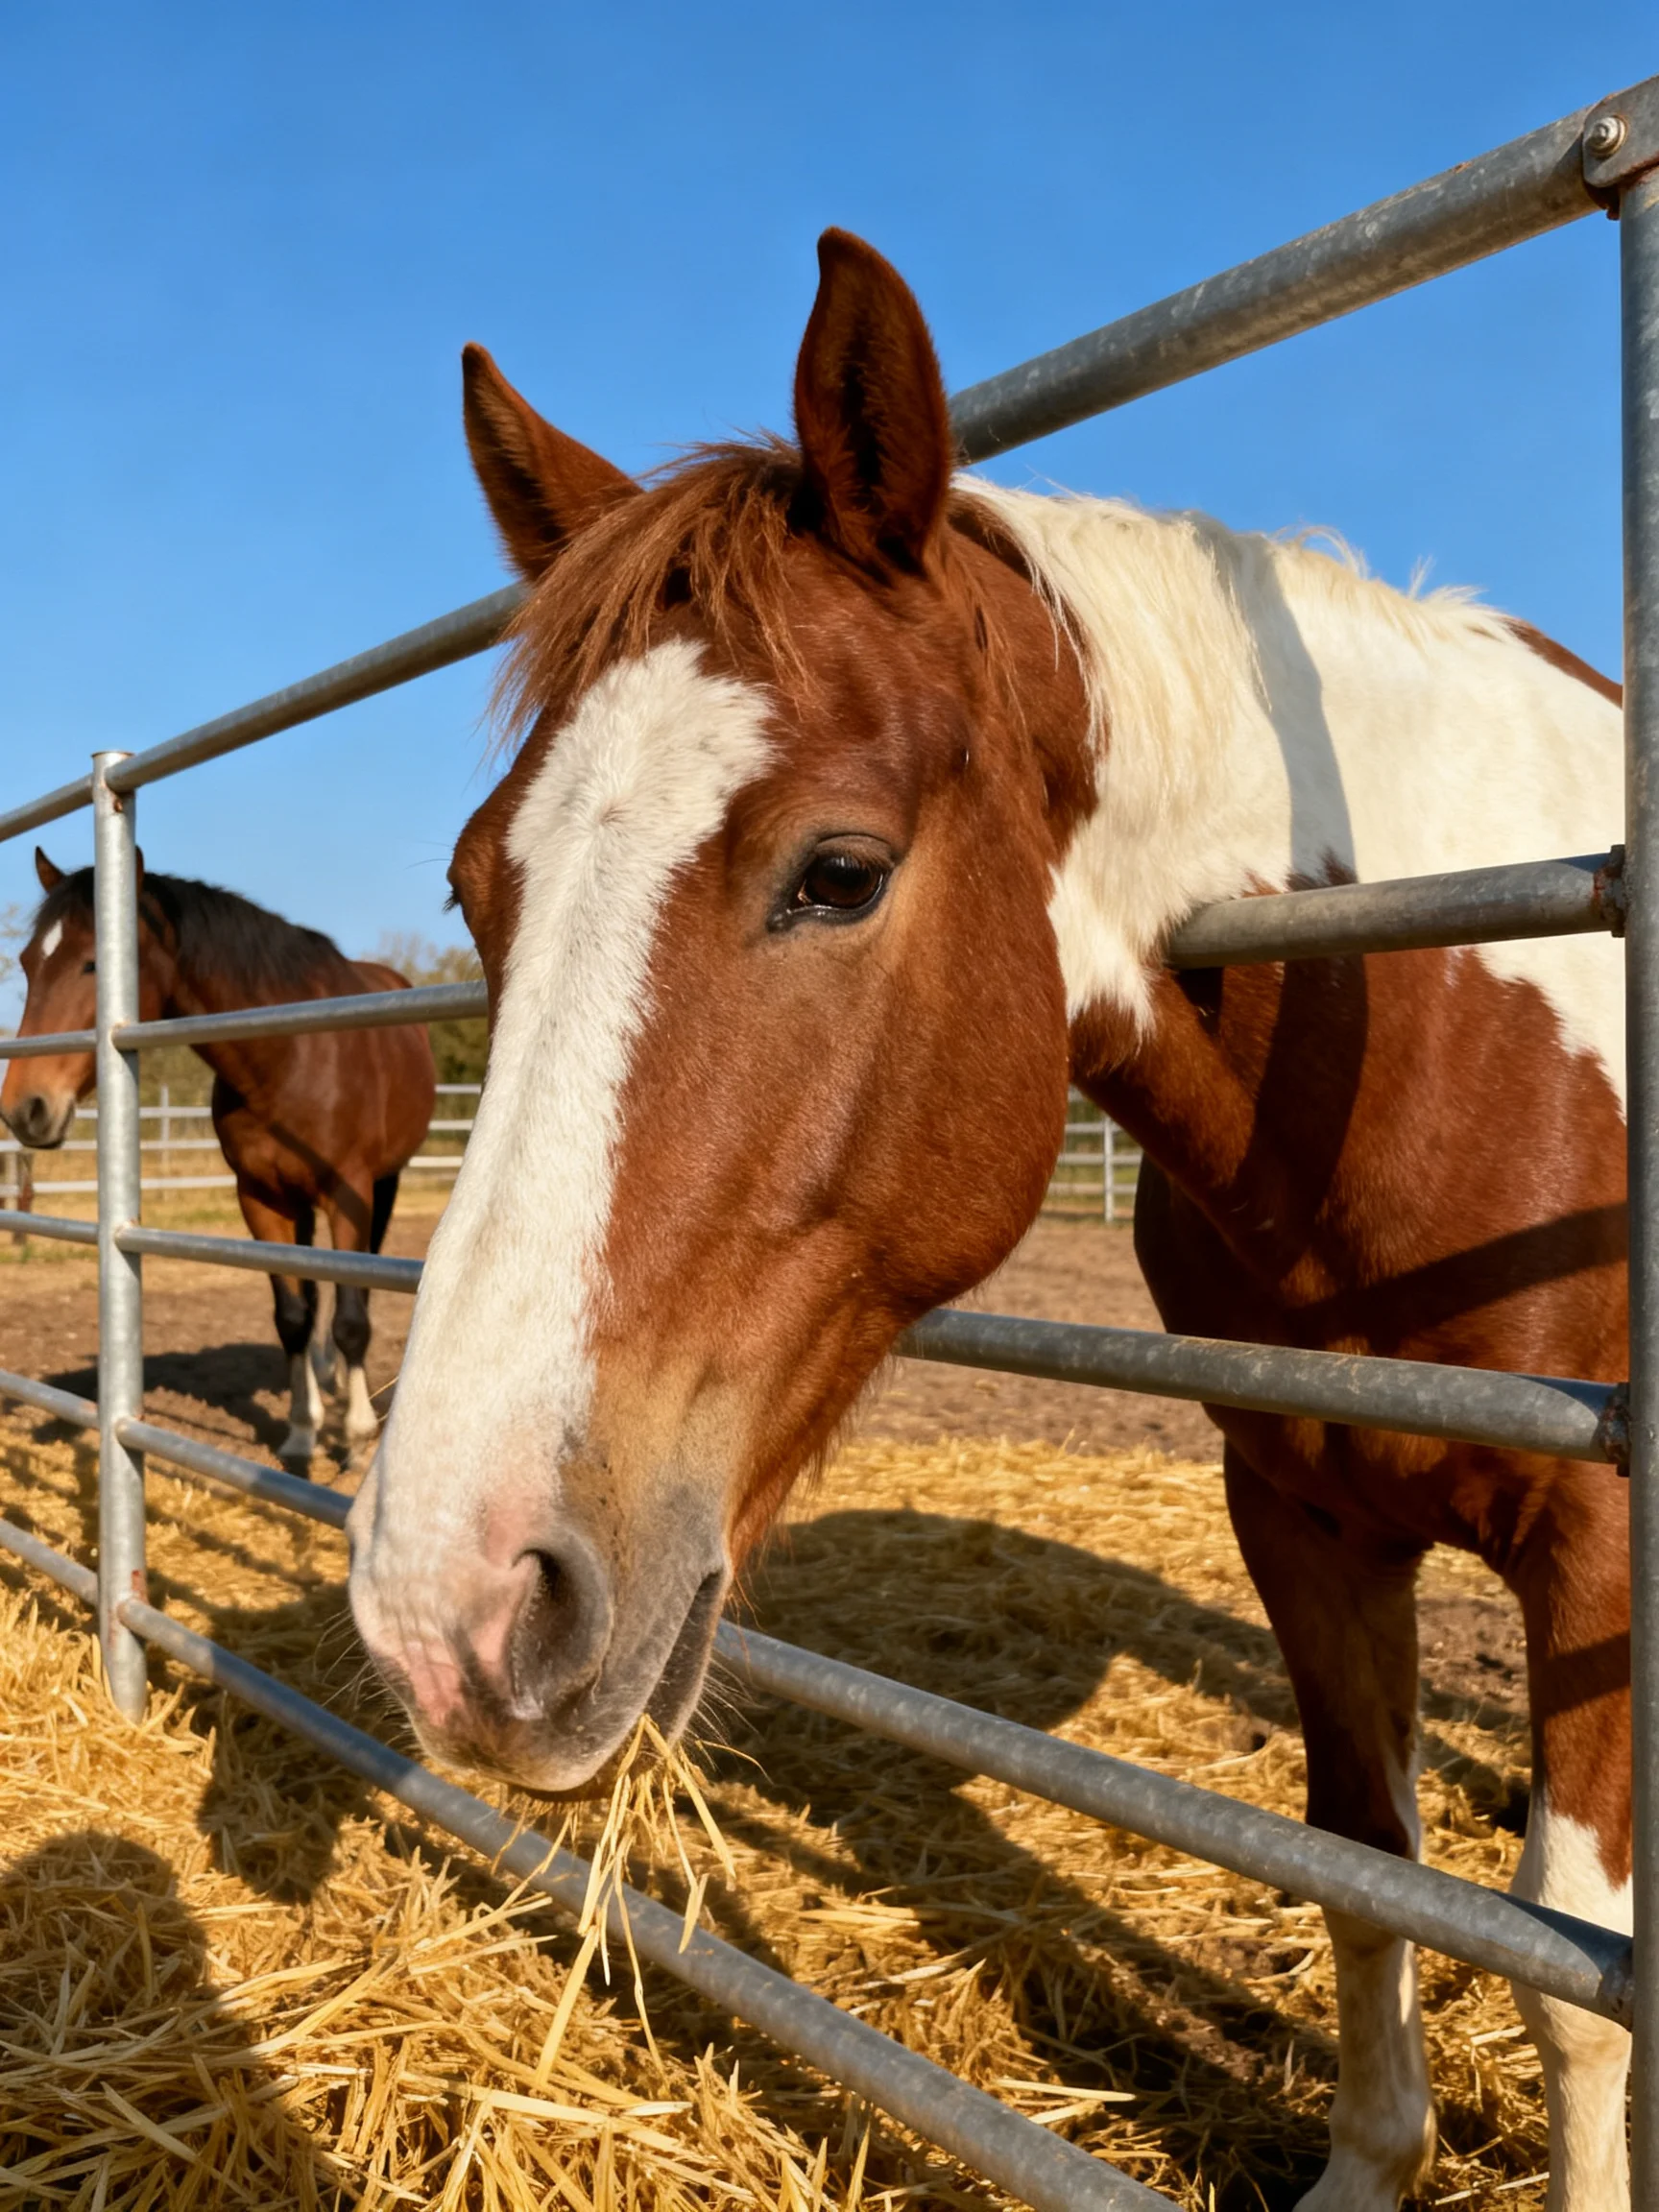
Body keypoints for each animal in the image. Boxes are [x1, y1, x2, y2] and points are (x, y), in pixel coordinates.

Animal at [3, 851, 436, 1464]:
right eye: (28, 962)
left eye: (94, 963)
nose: (24, 1108)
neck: (290, 1055)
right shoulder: (260, 1198)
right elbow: (292, 1316)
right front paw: (301, 1433)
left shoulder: (349, 1192)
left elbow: (352, 1316)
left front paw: (354, 1437)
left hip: (384, 1182)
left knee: (362, 1278)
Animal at [345, 232, 1629, 2208]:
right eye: (479, 884)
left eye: (839, 872)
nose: (449, 1605)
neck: (1427, 1042)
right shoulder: (1302, 1509)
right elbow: (1361, 1861)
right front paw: (1364, 2160)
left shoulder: (1601, 1538)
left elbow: (1571, 1979)